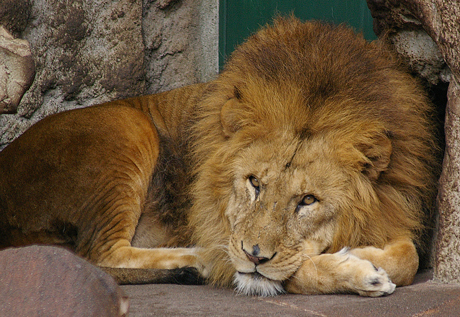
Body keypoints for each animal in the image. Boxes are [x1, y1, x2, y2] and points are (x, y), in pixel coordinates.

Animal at [0, 16, 438, 294]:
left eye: (308, 200)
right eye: (254, 183)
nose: (254, 255)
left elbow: (409, 255)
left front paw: (367, 255)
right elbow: (288, 272)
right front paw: (360, 273)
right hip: (126, 127)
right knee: (100, 252)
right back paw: (200, 258)